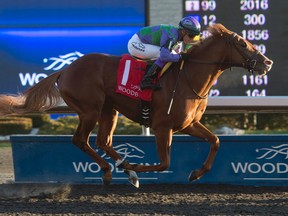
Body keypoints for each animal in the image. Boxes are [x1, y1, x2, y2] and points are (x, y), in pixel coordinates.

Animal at [0, 23, 272, 187]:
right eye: (242, 43)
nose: (267, 62)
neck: (189, 77)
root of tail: (66, 69)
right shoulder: (163, 127)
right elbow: (165, 163)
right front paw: (137, 168)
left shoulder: (189, 124)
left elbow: (215, 141)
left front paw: (196, 173)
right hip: (90, 110)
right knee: (81, 140)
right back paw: (113, 170)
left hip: (109, 110)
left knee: (103, 141)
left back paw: (122, 168)